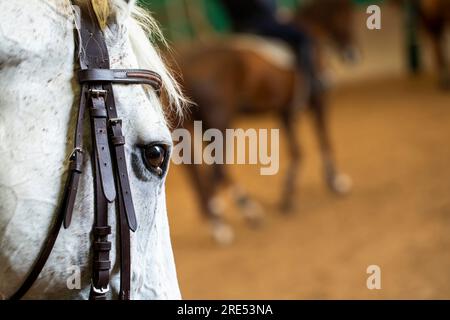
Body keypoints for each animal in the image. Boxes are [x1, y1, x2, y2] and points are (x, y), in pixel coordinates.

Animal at [176, 0, 356, 242]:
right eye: (345, 17)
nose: (352, 54)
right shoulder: (318, 101)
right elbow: (323, 139)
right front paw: (336, 182)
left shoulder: (285, 111)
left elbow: (296, 151)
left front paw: (288, 197)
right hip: (219, 121)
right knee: (216, 168)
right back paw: (221, 224)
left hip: (200, 124)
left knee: (205, 168)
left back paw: (245, 212)